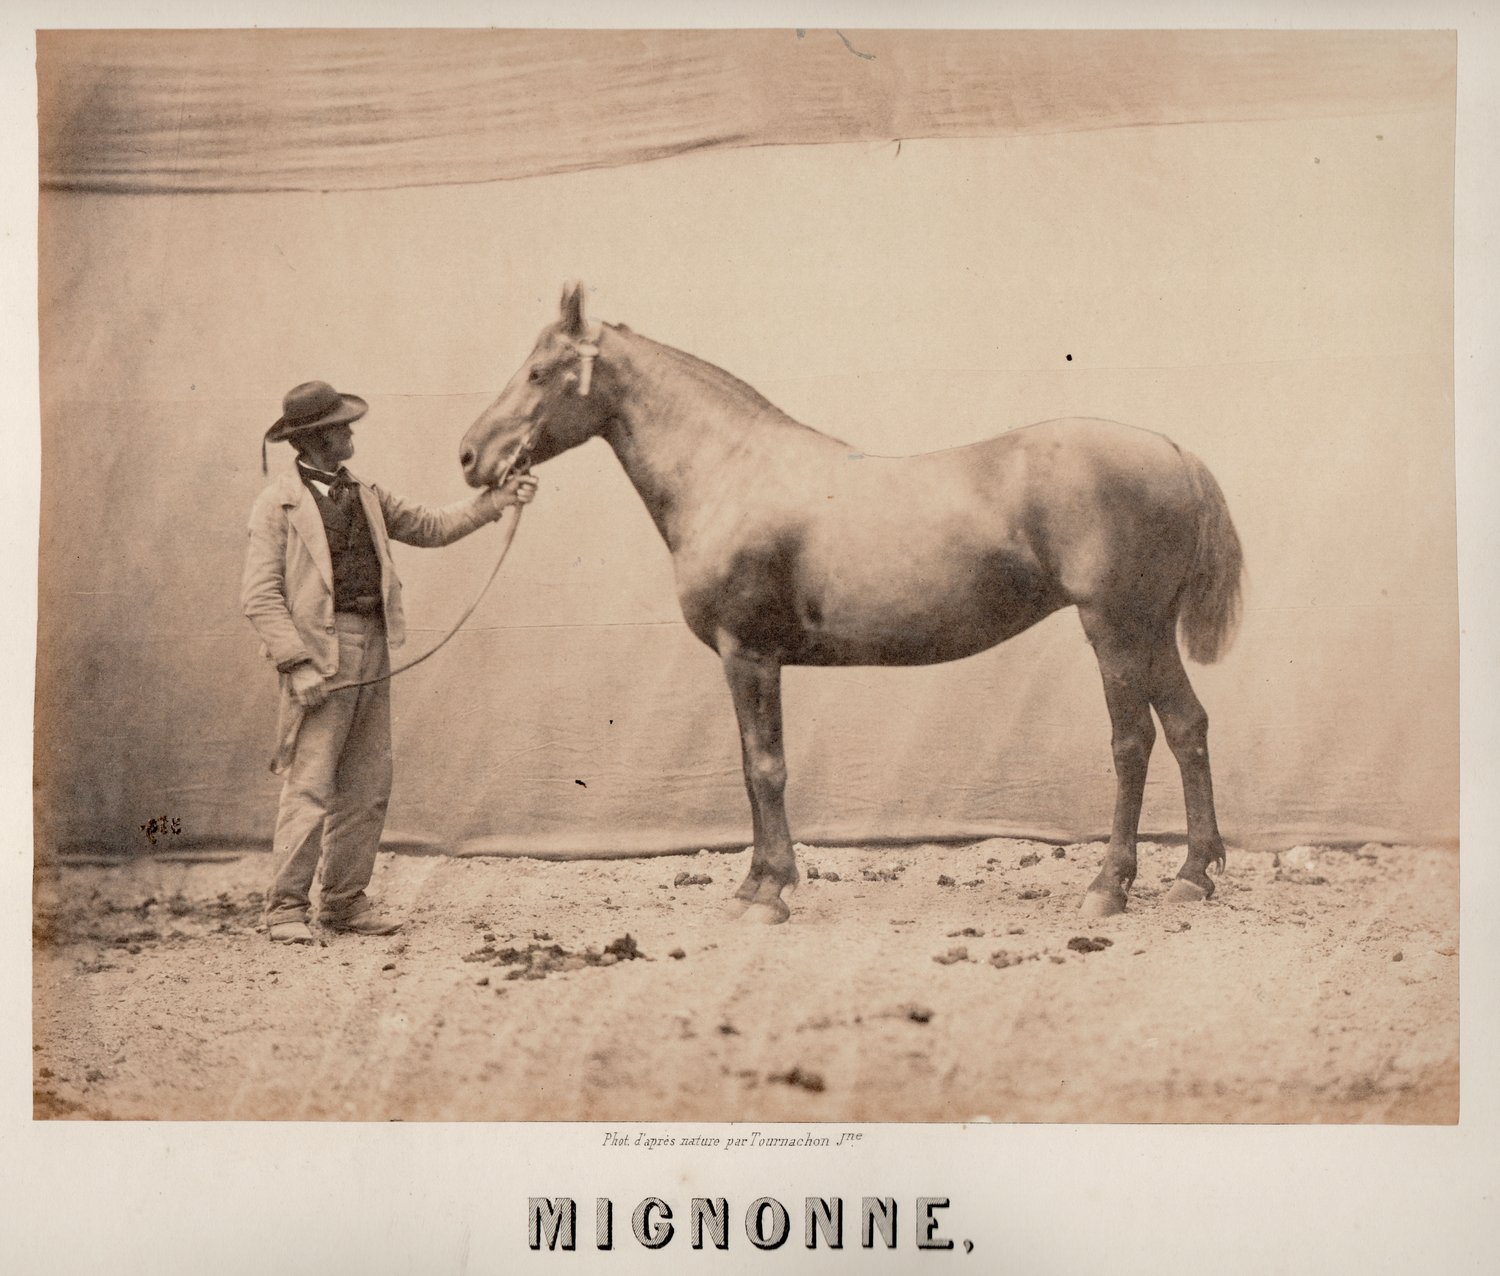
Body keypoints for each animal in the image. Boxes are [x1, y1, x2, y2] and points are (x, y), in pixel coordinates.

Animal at [456, 284, 1242, 929]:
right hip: (1150, 630)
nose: (469, 456)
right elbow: (752, 767)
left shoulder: (749, 653)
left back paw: (1109, 886)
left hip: (1114, 628)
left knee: (1132, 742)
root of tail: (1172, 449)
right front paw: (757, 883)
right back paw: (1192, 876)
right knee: (1188, 727)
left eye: (538, 372)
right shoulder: (749, 660)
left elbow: (764, 767)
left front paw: (767, 892)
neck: (729, 472)